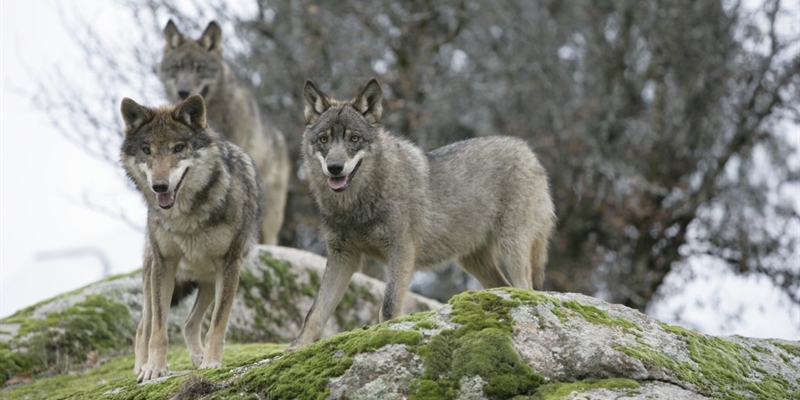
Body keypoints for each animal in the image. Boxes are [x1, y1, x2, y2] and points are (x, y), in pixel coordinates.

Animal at [120, 94, 262, 382]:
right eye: (146, 150)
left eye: (178, 148)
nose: (159, 186)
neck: (185, 217)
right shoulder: (164, 266)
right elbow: (159, 329)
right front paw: (154, 369)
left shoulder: (230, 265)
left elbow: (217, 324)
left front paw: (211, 363)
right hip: (152, 278)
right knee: (143, 326)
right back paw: (141, 366)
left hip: (209, 281)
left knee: (189, 323)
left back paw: (199, 358)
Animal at [288, 79, 556, 348]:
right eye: (324, 139)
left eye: (354, 138)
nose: (335, 168)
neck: (354, 206)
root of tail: (528, 150)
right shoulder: (342, 257)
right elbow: (314, 312)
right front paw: (296, 347)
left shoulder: (401, 251)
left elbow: (388, 307)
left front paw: (384, 335)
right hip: (472, 260)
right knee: (504, 286)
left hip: (511, 246)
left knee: (526, 288)